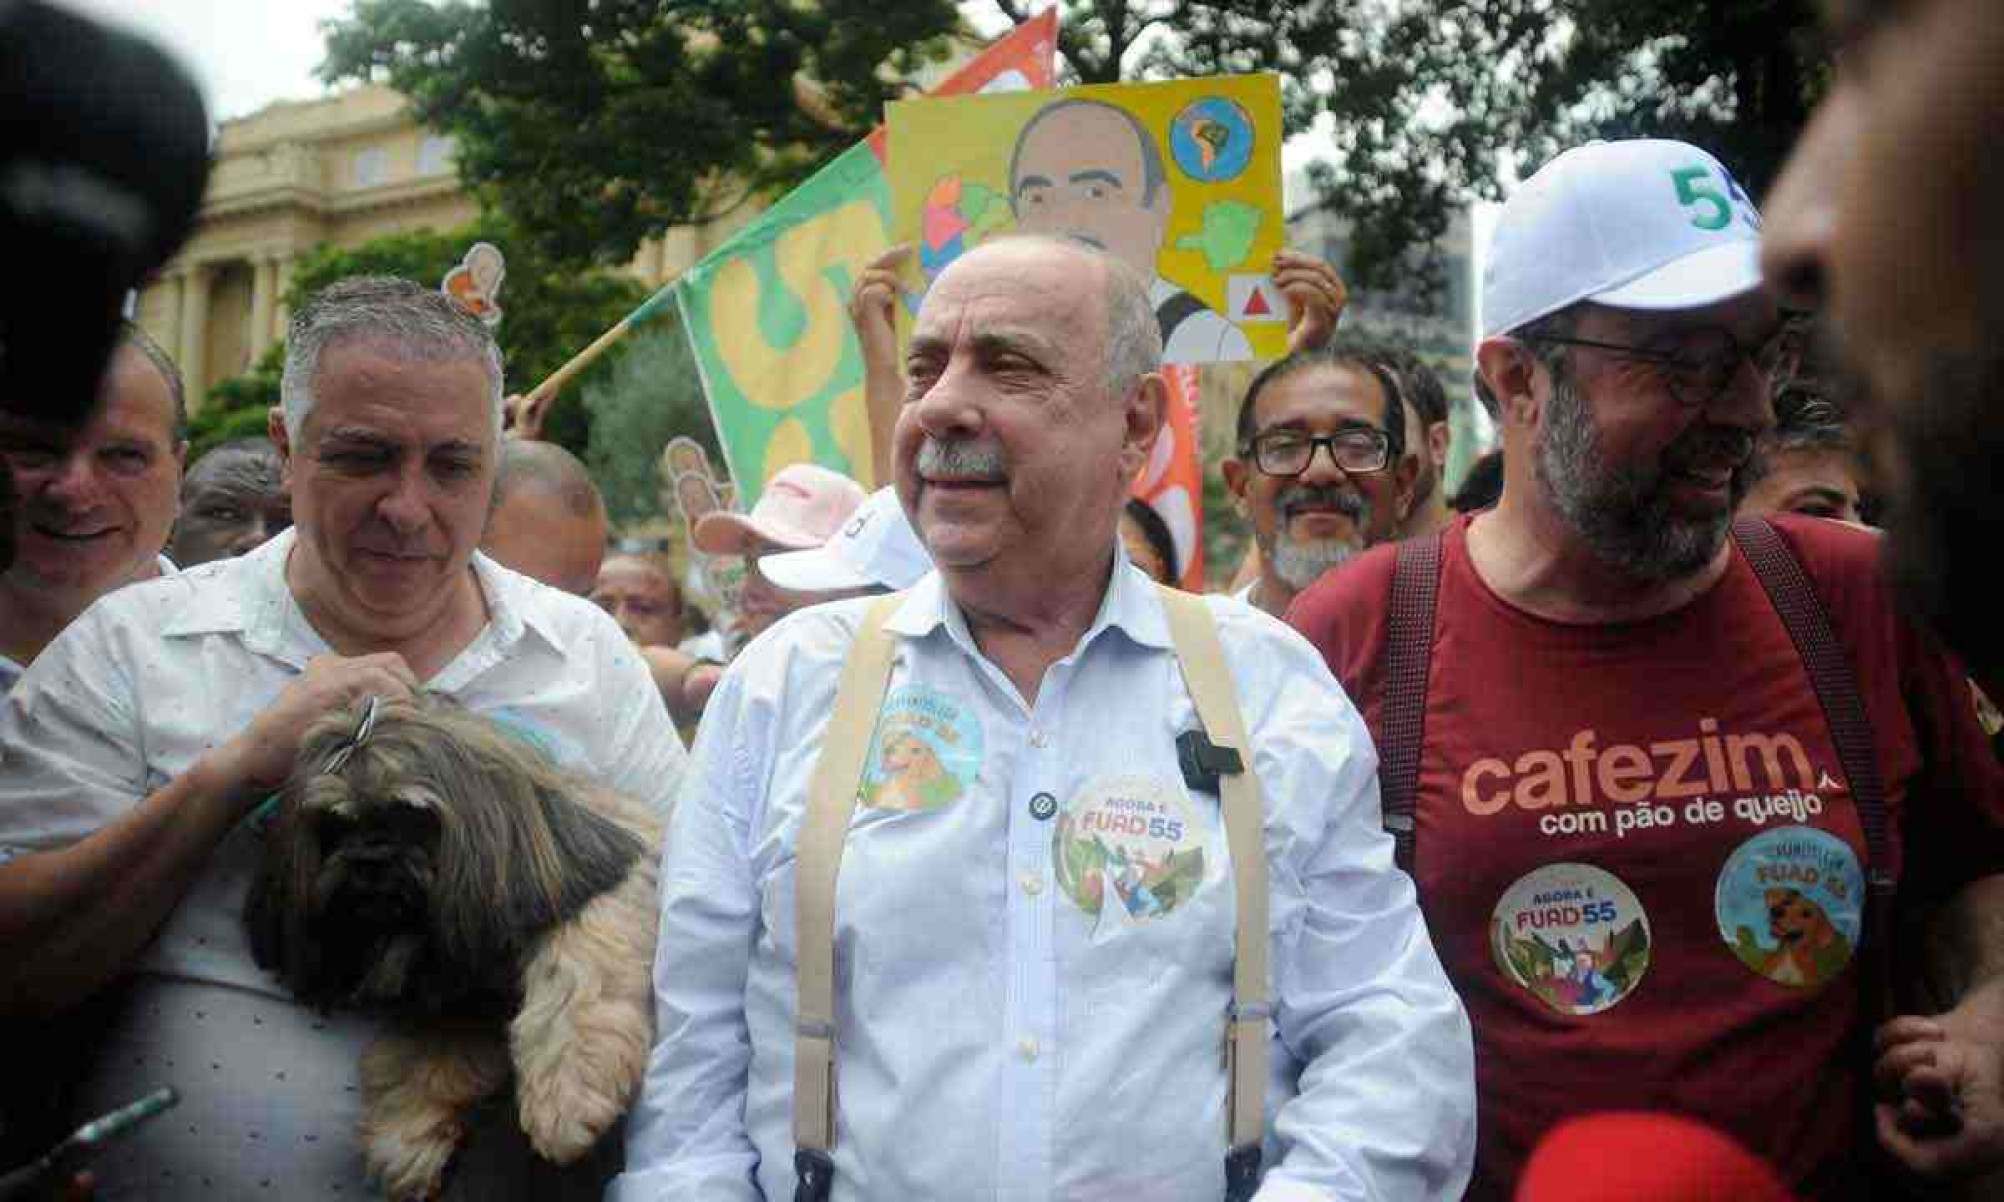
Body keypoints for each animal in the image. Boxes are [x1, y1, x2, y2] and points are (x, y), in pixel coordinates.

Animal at [246, 693, 661, 1202]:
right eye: (334, 827)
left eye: (411, 815)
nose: (368, 859)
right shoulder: (452, 984)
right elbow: (429, 1051)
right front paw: (405, 1134)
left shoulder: (608, 880)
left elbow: (580, 976)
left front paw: (569, 1095)